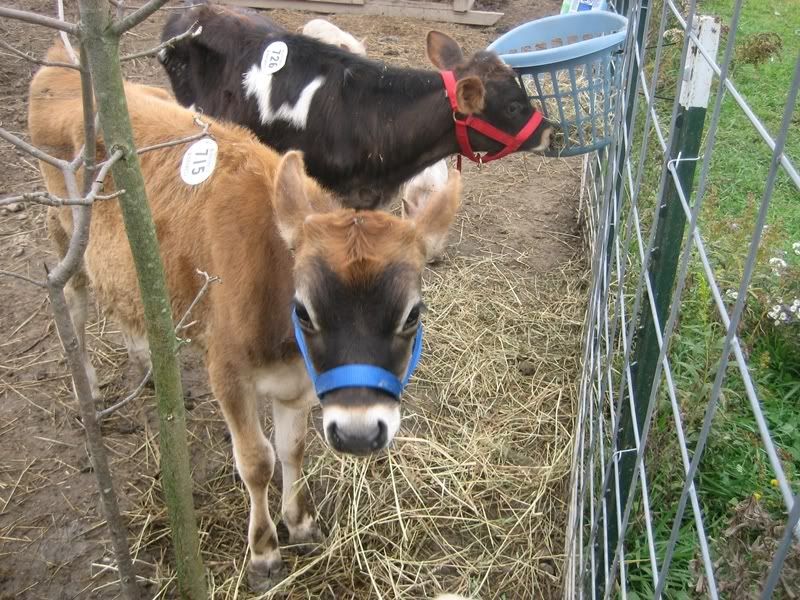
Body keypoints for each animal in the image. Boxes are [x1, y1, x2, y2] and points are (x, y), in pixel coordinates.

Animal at [29, 44, 462, 592]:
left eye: (412, 314)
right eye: (304, 310)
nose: (359, 434)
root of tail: (60, 66)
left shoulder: (297, 381)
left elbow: (293, 448)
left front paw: (300, 523)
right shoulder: (227, 371)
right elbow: (257, 461)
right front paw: (263, 553)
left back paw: (147, 365)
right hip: (66, 229)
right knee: (74, 299)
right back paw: (88, 385)